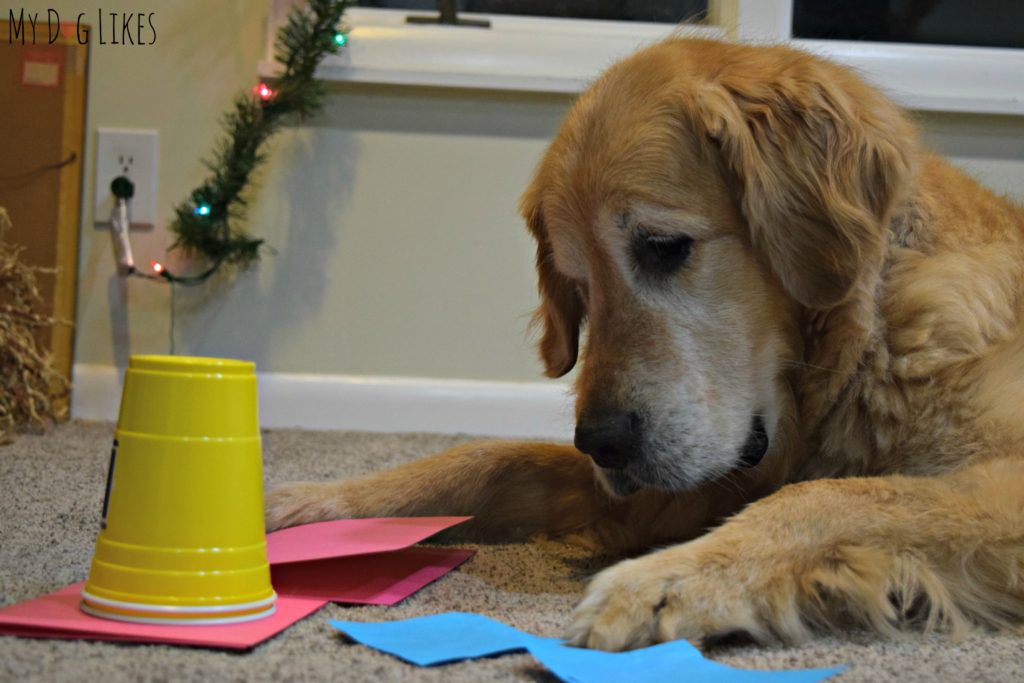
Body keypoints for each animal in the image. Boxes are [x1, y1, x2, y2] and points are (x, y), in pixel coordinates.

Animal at [266, 37, 1024, 651]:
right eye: (578, 285)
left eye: (662, 246)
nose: (603, 442)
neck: (860, 348)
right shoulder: (654, 487)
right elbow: (480, 458)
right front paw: (311, 504)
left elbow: (837, 497)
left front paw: (669, 580)